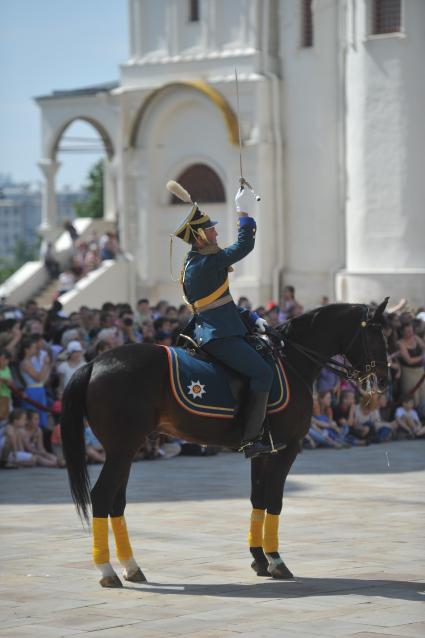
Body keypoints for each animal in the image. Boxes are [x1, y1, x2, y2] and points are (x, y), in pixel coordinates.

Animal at [61, 300, 390, 592]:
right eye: (377, 335)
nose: (384, 380)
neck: (292, 362)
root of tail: (95, 362)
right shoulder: (288, 448)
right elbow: (275, 500)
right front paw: (275, 560)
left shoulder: (263, 450)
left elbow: (258, 499)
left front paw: (259, 559)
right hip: (121, 450)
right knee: (102, 497)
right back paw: (107, 570)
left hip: (126, 451)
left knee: (116, 502)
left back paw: (131, 567)